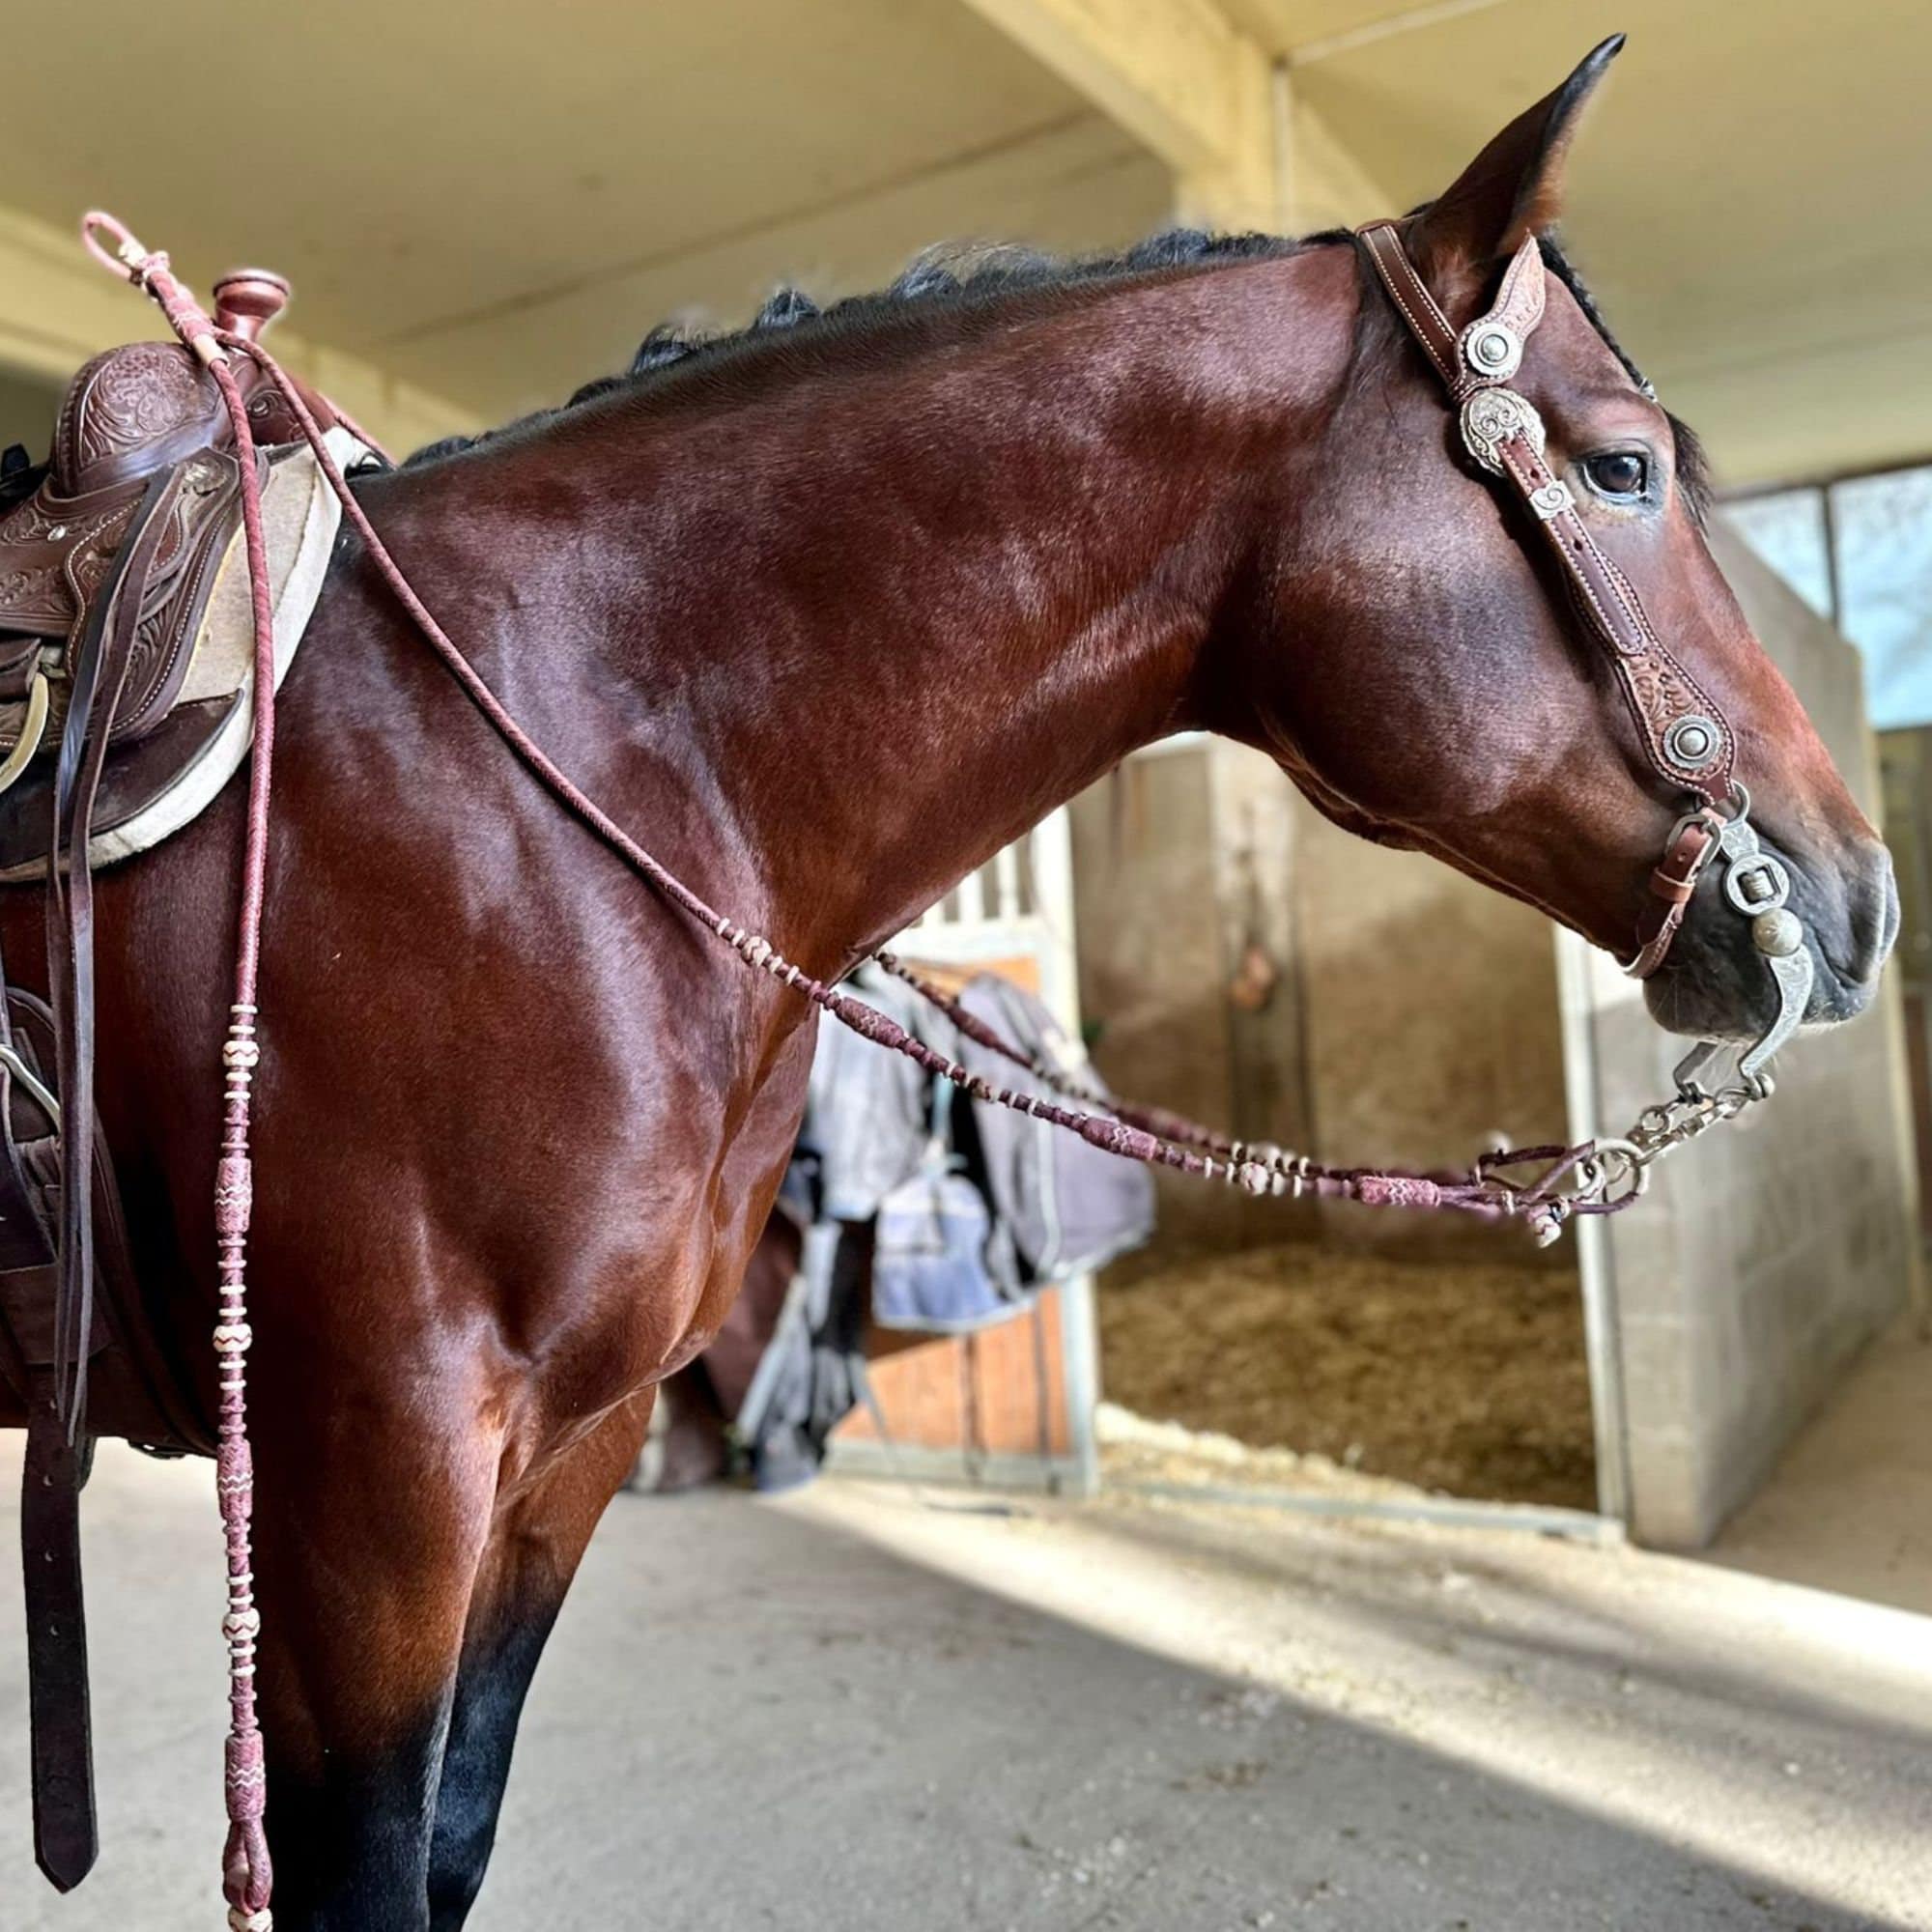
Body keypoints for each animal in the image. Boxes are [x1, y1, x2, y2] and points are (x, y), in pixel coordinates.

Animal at [0, 42, 1901, 1932]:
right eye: (1626, 470)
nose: (1858, 900)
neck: (566, 764)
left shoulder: (565, 1458)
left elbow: (452, 1841)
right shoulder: (371, 1479)